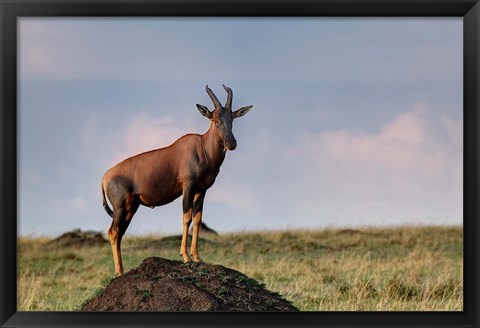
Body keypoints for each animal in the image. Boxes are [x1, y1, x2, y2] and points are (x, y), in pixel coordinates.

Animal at [100, 84, 253, 274]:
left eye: (232, 118)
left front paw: (197, 257)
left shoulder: (201, 190)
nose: (231, 144)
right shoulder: (188, 187)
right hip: (121, 206)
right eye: (215, 119)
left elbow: (197, 219)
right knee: (113, 232)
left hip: (132, 207)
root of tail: (104, 177)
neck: (201, 148)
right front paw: (185, 257)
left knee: (120, 233)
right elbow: (186, 217)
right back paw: (119, 272)